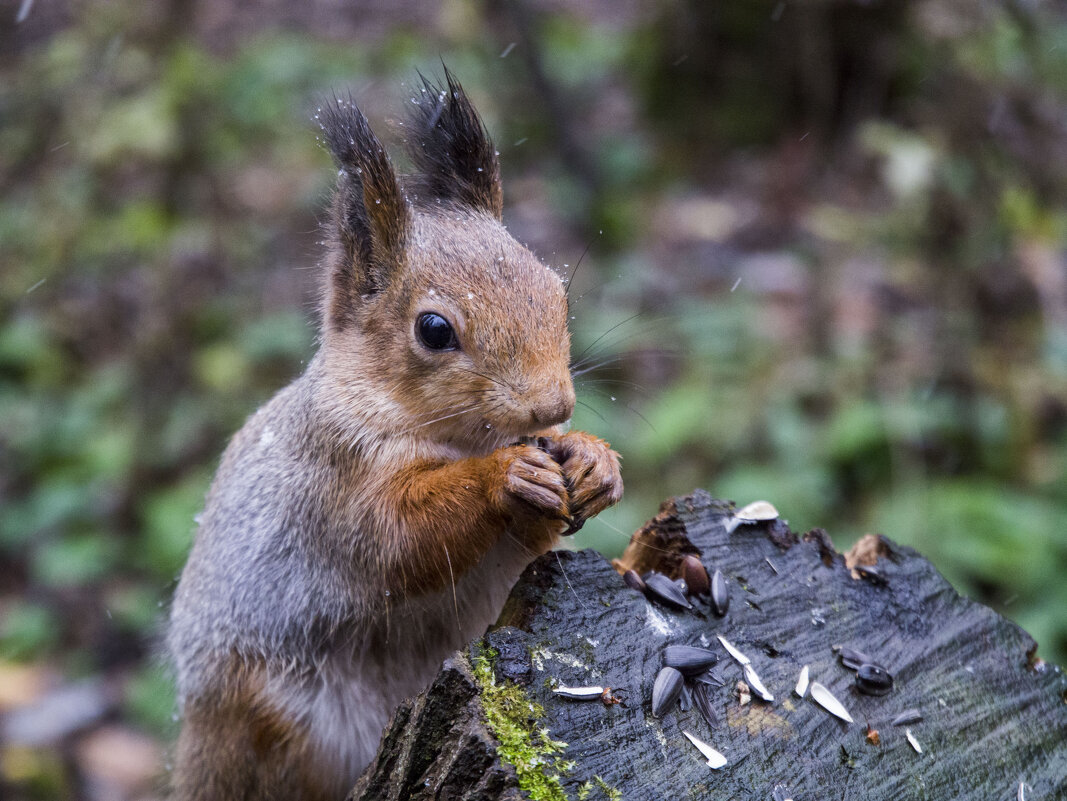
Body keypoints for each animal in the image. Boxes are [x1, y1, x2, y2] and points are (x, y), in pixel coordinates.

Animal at [162, 70, 623, 801]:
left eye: (558, 293)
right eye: (434, 331)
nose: (553, 404)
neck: (462, 437)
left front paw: (594, 463)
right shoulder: (333, 478)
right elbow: (398, 538)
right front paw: (506, 477)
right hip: (274, 718)